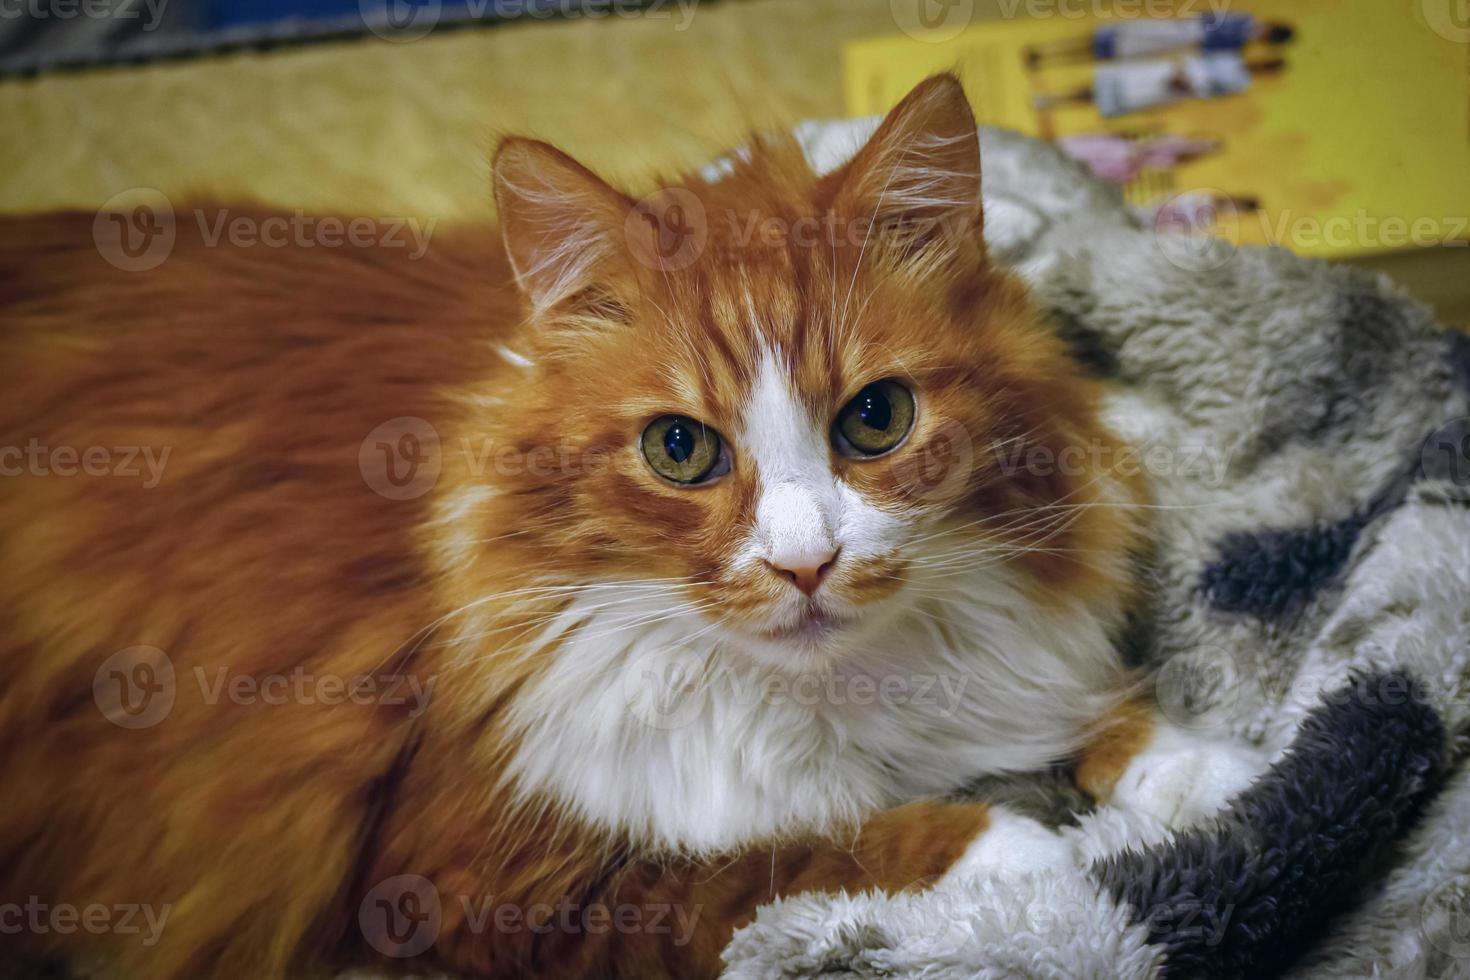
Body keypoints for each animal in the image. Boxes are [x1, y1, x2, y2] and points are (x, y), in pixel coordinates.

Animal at [0, 76, 1258, 980]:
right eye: (679, 449)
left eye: (877, 418)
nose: (807, 562)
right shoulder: (475, 877)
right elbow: (809, 850)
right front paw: (1027, 849)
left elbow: (1109, 720)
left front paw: (1213, 772)